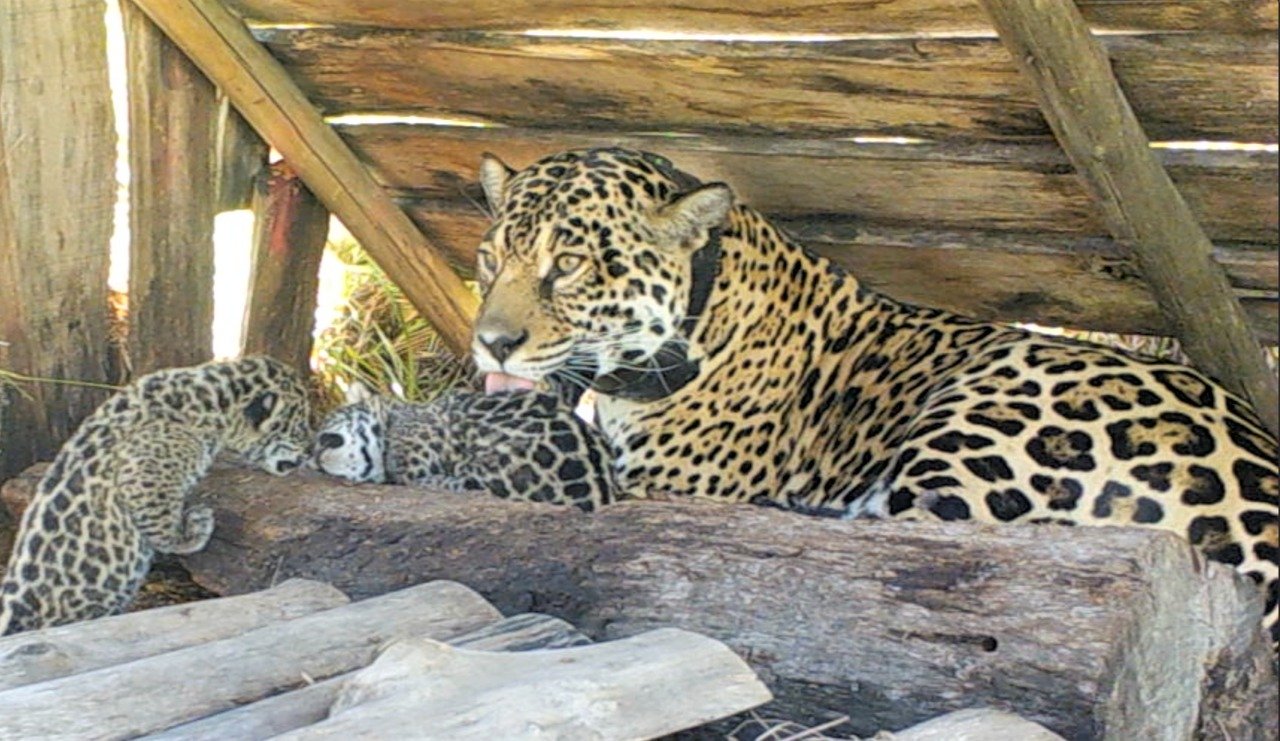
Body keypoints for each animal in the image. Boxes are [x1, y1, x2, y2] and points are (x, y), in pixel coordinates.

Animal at [0, 356, 313, 635]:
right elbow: (162, 528)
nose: (311, 452)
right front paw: (195, 527)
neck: (211, 402)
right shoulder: (144, 472)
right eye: (301, 427)